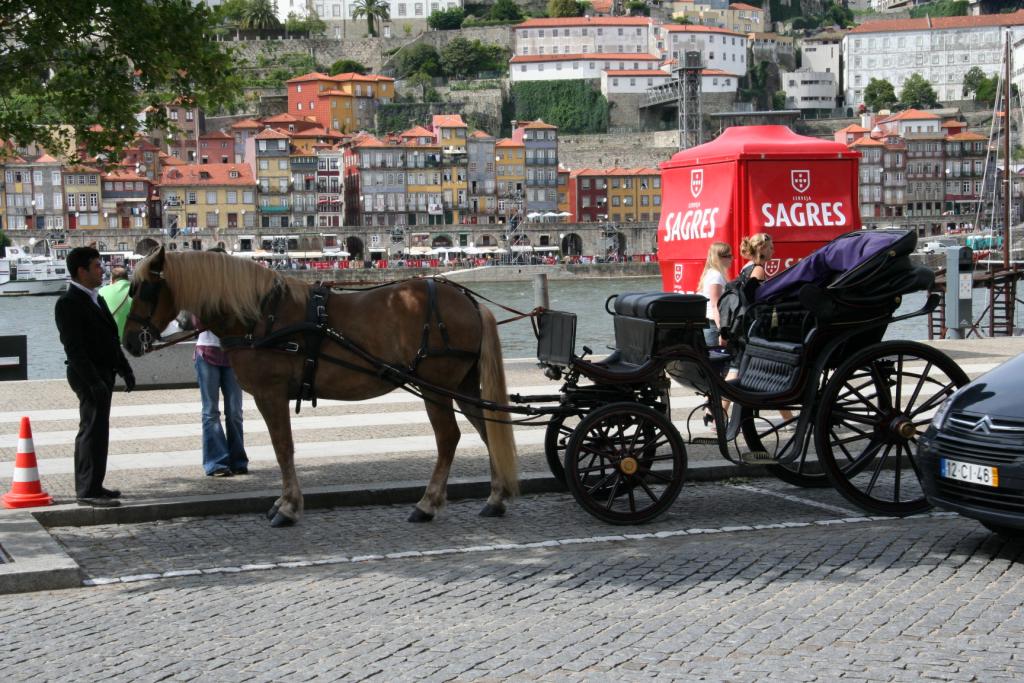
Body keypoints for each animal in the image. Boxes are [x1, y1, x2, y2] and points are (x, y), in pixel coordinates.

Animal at [122, 247, 518, 527]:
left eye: (144, 290)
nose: (129, 342)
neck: (261, 316)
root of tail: (469, 301)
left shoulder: (270, 394)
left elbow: (283, 448)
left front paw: (288, 507)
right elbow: (282, 448)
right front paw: (284, 503)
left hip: (436, 388)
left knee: (449, 438)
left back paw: (428, 504)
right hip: (462, 388)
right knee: (488, 430)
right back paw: (495, 499)